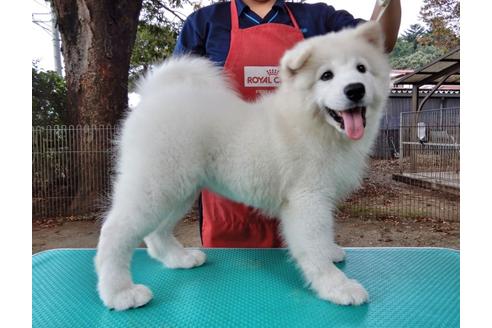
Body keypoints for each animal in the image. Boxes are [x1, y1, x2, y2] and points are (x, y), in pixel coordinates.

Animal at [94, 21, 390, 310]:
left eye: (361, 69)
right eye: (326, 76)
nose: (355, 89)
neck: (314, 125)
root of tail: (153, 97)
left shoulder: (320, 199)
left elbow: (324, 237)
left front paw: (331, 254)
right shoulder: (308, 199)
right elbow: (314, 246)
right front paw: (337, 287)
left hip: (178, 188)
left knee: (157, 234)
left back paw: (179, 258)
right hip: (156, 185)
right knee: (114, 232)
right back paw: (120, 293)